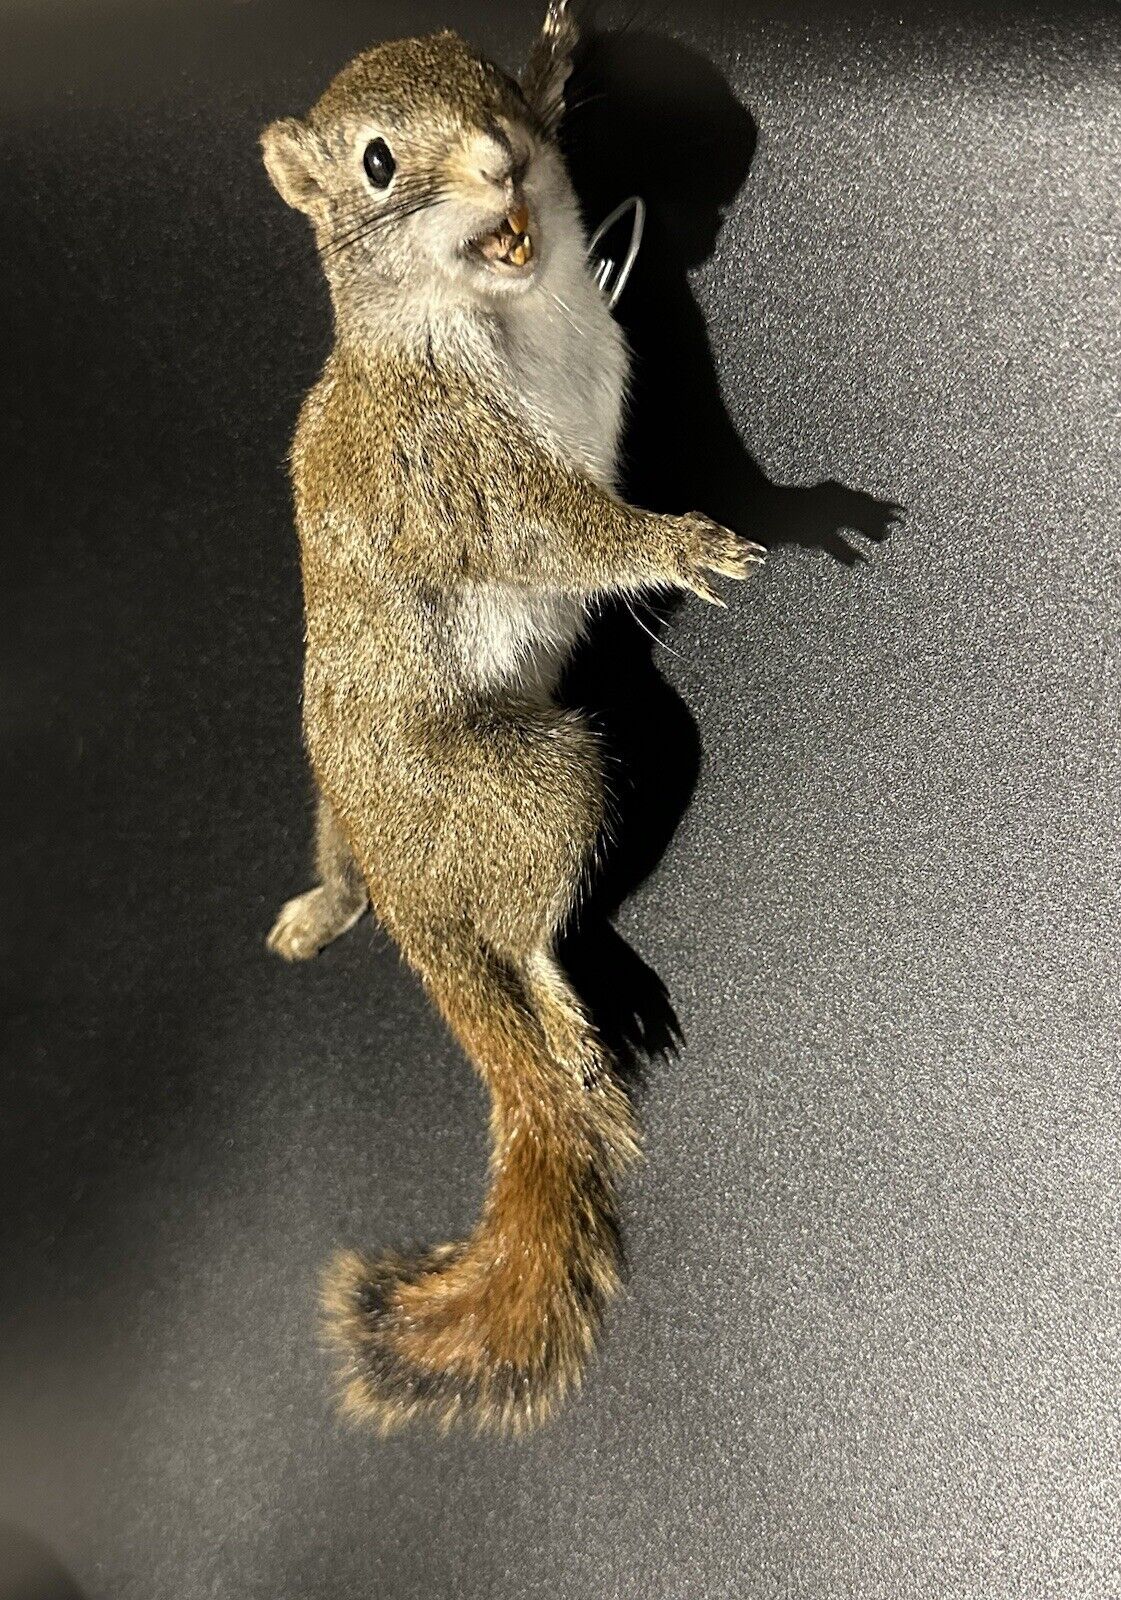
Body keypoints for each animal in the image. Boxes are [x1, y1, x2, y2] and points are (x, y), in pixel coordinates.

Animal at [260, 3, 764, 1435]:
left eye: (486, 85)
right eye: (378, 164)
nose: (501, 158)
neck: (500, 303)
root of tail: (412, 902)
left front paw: (558, 54)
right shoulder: (445, 466)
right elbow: (556, 533)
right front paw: (681, 542)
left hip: (350, 825)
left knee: (344, 874)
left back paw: (323, 907)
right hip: (530, 783)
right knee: (527, 932)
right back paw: (551, 1005)